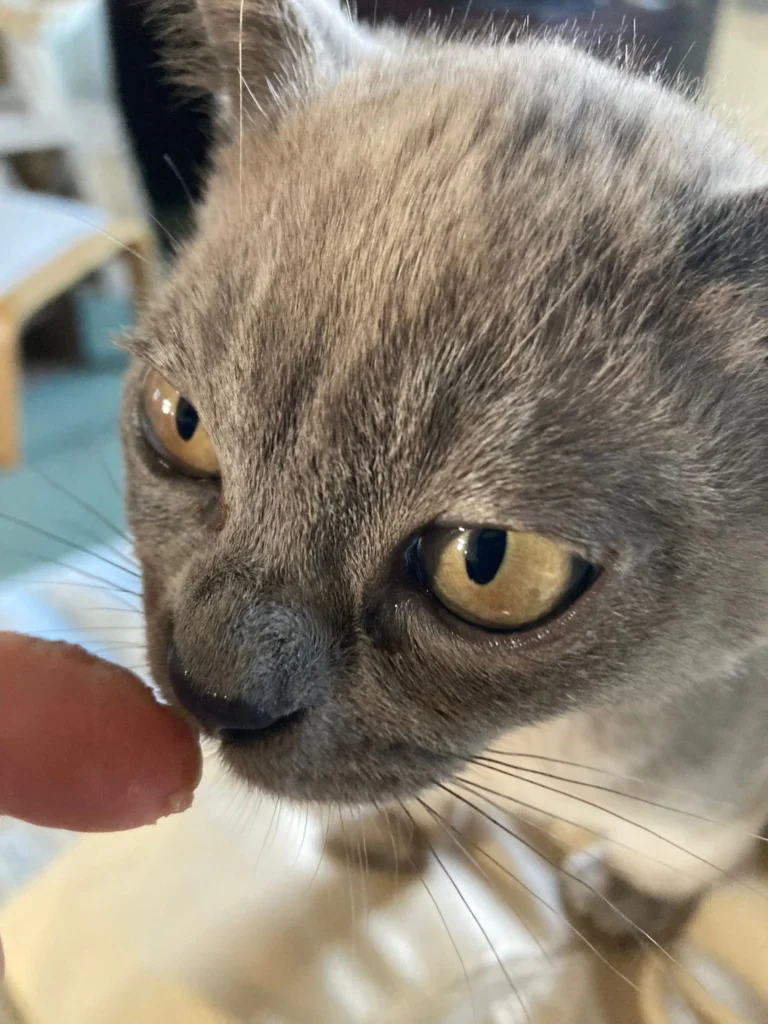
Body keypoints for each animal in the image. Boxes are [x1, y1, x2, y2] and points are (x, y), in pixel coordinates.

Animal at [120, 0, 768, 942]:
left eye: (489, 563)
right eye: (182, 423)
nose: (212, 694)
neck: (527, 746)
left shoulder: (719, 788)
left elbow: (678, 847)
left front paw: (622, 905)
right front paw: (390, 829)